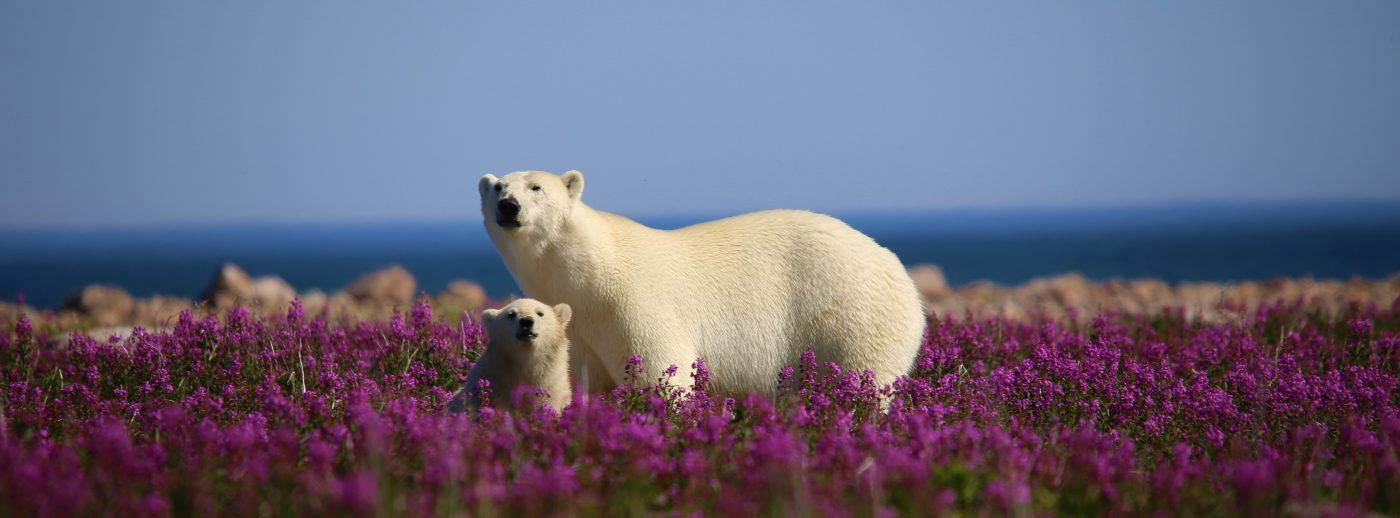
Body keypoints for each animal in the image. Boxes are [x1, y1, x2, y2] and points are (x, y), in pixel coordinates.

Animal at [477, 170, 925, 398]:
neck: (586, 277)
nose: (508, 206)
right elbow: (582, 385)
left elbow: (660, 372)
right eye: (498, 187)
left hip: (851, 315)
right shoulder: (579, 331)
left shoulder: (634, 305)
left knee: (864, 380)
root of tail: (898, 269)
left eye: (536, 187)